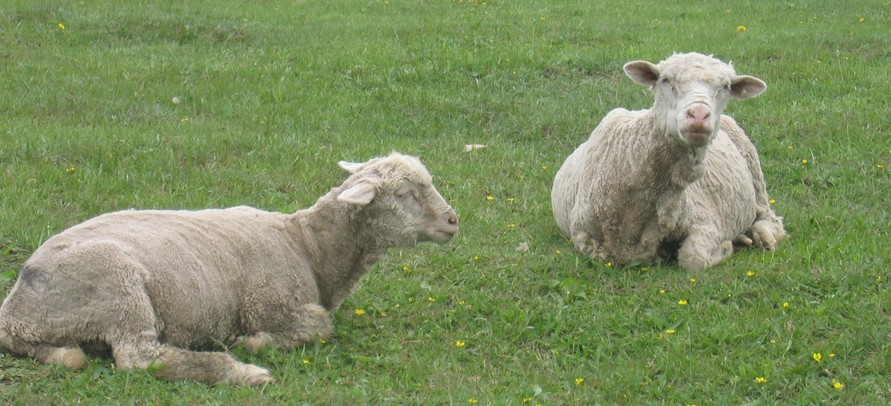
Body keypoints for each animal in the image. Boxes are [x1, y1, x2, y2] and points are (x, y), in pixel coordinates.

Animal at [0, 151, 460, 384]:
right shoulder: (273, 306)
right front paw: (252, 343)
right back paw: (243, 371)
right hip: (119, 290)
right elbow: (320, 327)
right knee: (141, 359)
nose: (454, 221)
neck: (308, 245)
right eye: (404, 193)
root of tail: (16, 313)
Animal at [552, 52, 788, 272]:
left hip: (755, 175)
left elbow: (693, 258)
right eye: (665, 80)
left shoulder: (706, 219)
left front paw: (726, 246)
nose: (698, 115)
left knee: (770, 218)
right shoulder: (582, 233)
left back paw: (761, 236)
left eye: (726, 87)